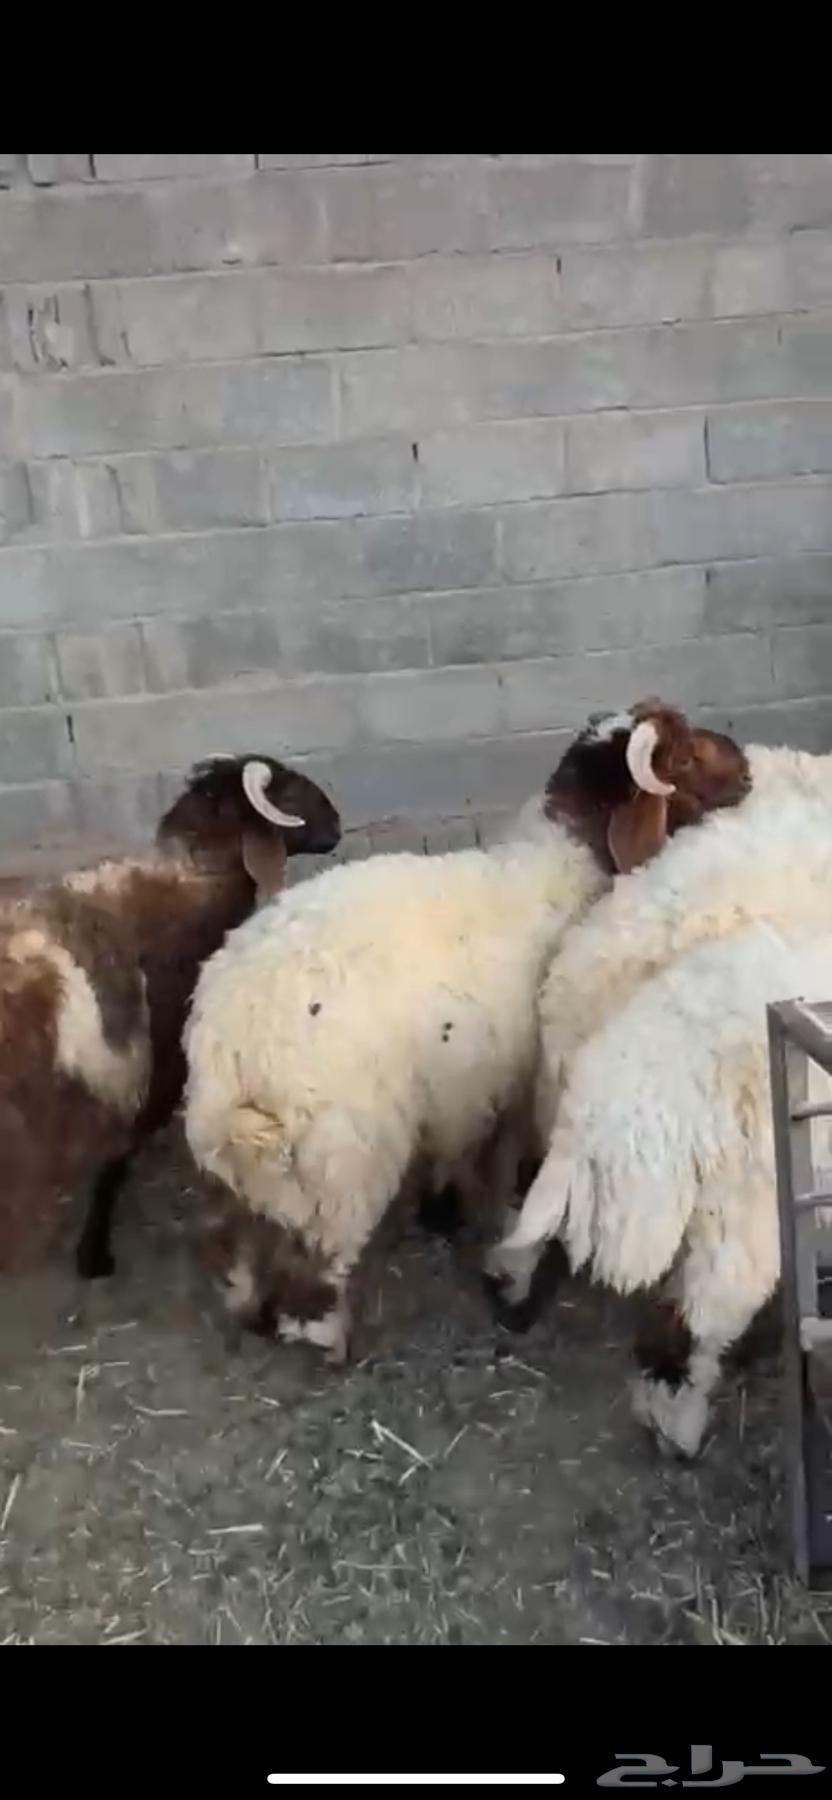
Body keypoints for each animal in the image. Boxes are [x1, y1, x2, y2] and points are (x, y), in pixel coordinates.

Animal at [0, 754, 341, 1281]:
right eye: (285, 791)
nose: (339, 827)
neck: (193, 886)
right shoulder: (152, 1078)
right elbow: (116, 1162)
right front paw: (94, 1253)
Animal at [182, 701, 748, 1363]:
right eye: (682, 757)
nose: (746, 769)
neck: (561, 865)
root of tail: (230, 1048)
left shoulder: (463, 1082)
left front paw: (444, 1211)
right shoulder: (516, 1081)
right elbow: (501, 1168)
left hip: (245, 1169)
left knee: (233, 1236)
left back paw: (246, 1302)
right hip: (344, 1157)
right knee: (319, 1263)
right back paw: (326, 1336)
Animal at [486, 719, 832, 1456]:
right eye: (691, 756)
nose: (746, 773)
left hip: (559, 1096)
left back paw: (508, 1279)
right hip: (738, 1220)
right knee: (690, 1322)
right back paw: (678, 1427)